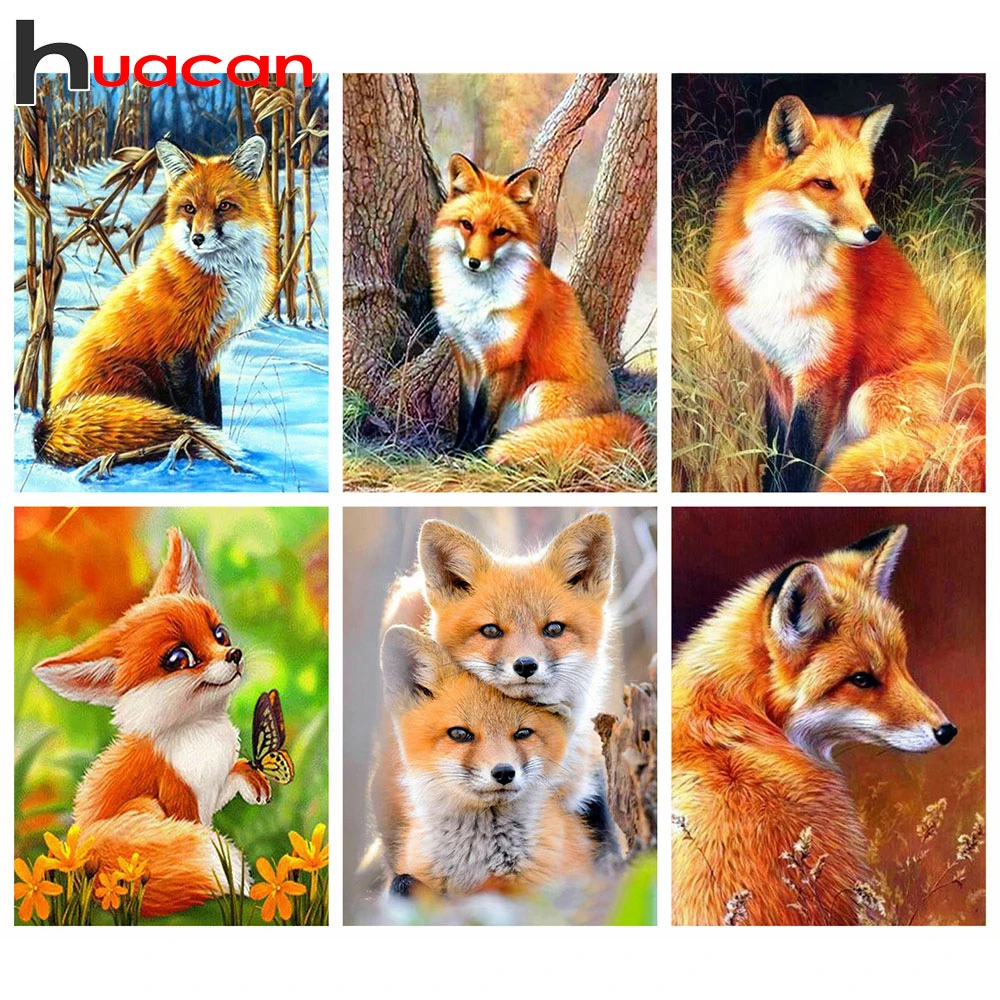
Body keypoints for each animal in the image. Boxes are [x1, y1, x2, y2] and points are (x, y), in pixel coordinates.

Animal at [32, 528, 271, 917]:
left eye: (219, 634)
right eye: (179, 658)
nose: (234, 655)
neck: (199, 734)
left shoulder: (211, 789)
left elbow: (234, 773)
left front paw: (253, 780)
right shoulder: (182, 799)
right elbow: (205, 833)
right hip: (142, 809)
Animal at [33, 135, 278, 473]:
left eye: (224, 206)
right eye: (189, 208)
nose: (198, 239)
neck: (220, 275)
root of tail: (48, 422)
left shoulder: (211, 355)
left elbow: (214, 413)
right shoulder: (178, 351)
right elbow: (195, 413)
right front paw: (208, 451)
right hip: (137, 378)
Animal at [429, 153, 651, 470]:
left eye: (500, 231)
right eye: (467, 225)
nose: (474, 262)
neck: (475, 301)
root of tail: (617, 412)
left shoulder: (503, 359)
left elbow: (481, 416)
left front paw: (468, 453)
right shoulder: (467, 357)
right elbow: (466, 412)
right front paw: (456, 448)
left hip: (540, 392)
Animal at [708, 95, 985, 493]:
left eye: (862, 185)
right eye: (825, 184)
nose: (873, 232)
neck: (781, 276)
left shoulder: (824, 364)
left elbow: (798, 459)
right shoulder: (775, 364)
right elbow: (777, 450)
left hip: (870, 395)